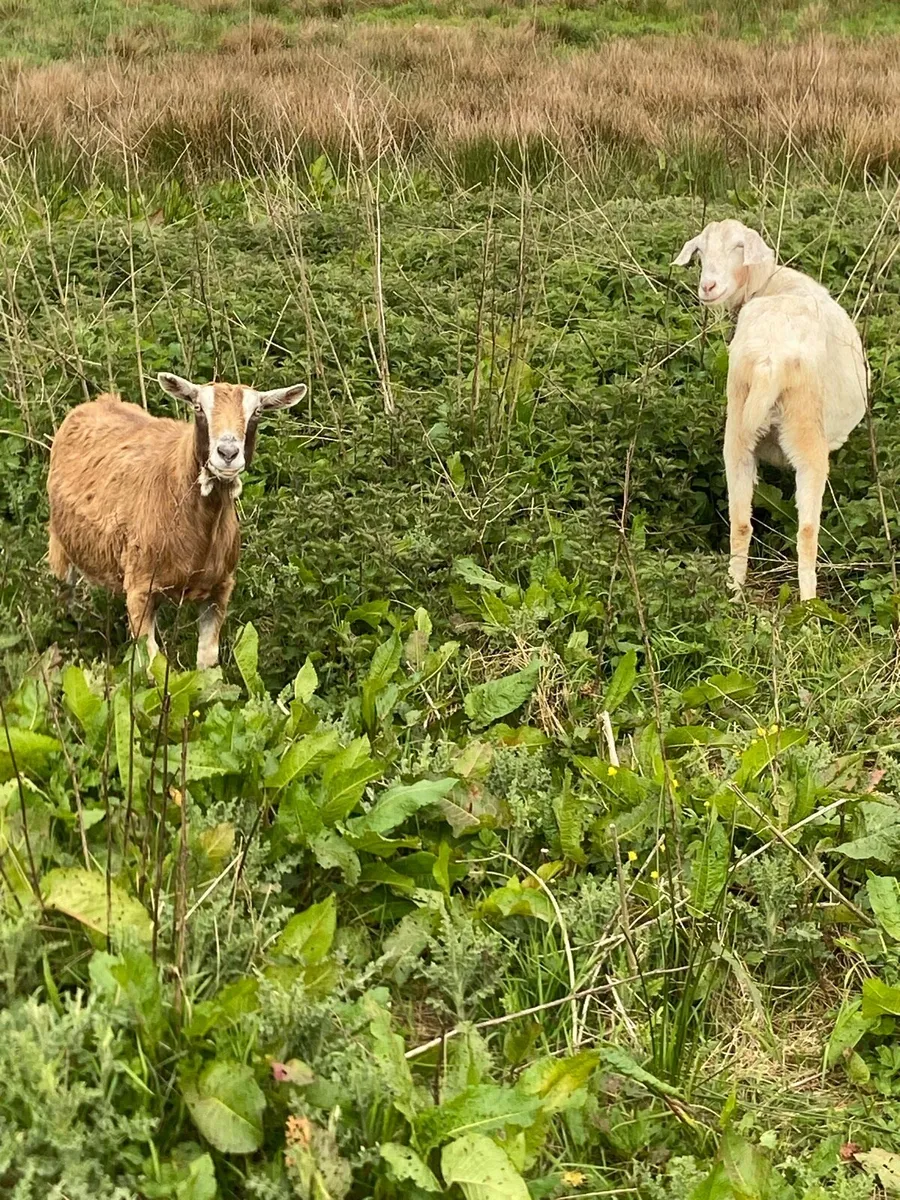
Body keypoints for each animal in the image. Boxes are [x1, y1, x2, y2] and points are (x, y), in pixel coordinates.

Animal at [47, 373, 307, 669]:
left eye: (257, 412)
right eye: (198, 407)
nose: (227, 453)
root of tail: (96, 402)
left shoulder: (220, 588)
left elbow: (207, 662)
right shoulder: (140, 589)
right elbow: (151, 664)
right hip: (59, 548)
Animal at [673, 219, 867, 601]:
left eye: (738, 247)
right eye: (700, 250)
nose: (708, 286)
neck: (769, 283)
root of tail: (769, 361)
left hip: (737, 428)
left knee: (740, 522)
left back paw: (734, 593)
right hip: (806, 434)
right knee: (807, 531)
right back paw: (809, 604)